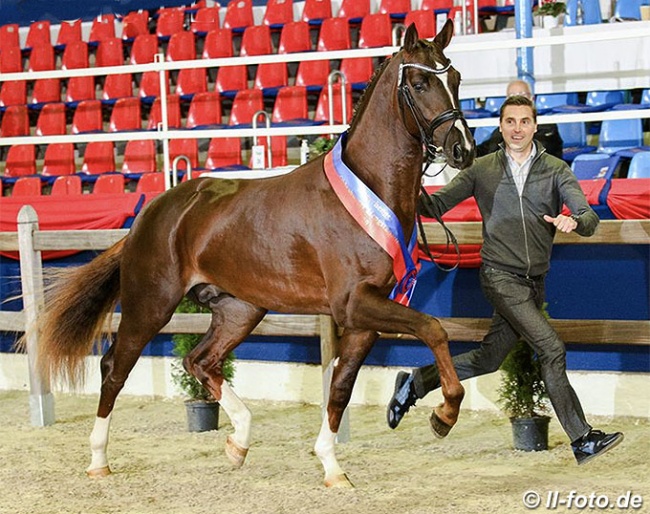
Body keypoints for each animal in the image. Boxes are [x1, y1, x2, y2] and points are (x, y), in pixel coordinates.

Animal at [30, 22, 474, 486]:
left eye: (456, 78)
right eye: (420, 83)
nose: (462, 149)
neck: (367, 191)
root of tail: (149, 214)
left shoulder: (365, 316)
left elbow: (340, 387)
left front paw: (332, 467)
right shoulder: (354, 305)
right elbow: (433, 329)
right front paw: (445, 413)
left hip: (239, 309)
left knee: (200, 361)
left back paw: (238, 441)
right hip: (150, 304)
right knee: (115, 367)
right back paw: (99, 459)